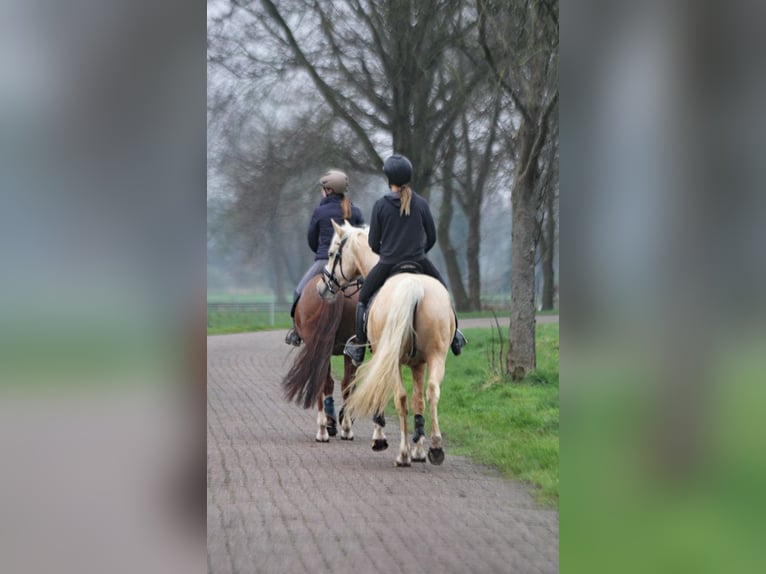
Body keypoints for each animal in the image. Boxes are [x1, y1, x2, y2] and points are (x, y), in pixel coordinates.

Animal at [318, 220, 456, 468]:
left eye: (333, 253)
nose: (323, 287)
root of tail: (413, 285)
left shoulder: (382, 356)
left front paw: (380, 436)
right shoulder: (419, 363)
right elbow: (419, 401)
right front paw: (419, 447)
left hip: (393, 359)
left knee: (400, 397)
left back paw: (402, 454)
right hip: (437, 356)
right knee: (432, 392)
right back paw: (435, 447)